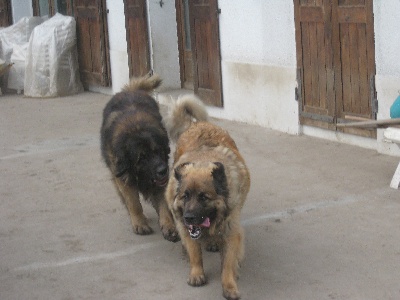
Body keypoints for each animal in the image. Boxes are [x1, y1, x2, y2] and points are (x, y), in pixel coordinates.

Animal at [101, 74, 179, 243]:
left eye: (158, 151)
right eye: (141, 158)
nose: (163, 170)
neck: (135, 128)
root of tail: (130, 90)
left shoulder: (160, 182)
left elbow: (163, 204)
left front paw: (169, 226)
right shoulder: (124, 178)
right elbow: (133, 202)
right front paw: (139, 223)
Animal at [164, 95, 248, 298]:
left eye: (204, 197)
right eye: (185, 196)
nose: (189, 217)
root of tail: (195, 123)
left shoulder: (231, 231)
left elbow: (228, 263)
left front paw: (229, 285)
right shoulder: (186, 227)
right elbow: (195, 252)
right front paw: (196, 273)